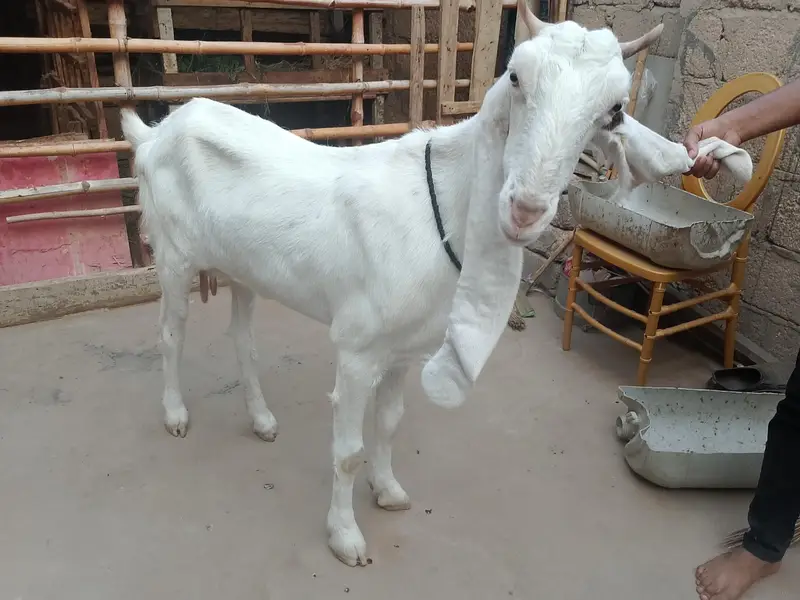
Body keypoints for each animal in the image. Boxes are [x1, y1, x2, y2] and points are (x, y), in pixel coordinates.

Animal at [122, 2, 681, 566]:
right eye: (516, 77)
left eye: (613, 110)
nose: (525, 209)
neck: (442, 208)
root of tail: (156, 133)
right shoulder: (357, 348)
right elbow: (348, 452)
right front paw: (345, 536)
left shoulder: (403, 350)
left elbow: (389, 422)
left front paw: (388, 490)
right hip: (173, 256)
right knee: (171, 334)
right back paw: (175, 414)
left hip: (244, 268)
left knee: (242, 338)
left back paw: (261, 420)